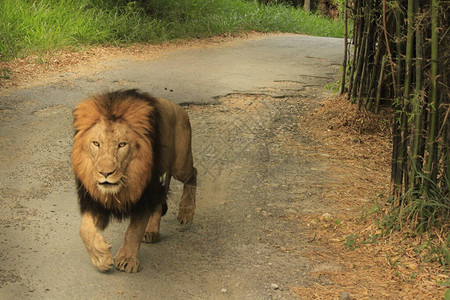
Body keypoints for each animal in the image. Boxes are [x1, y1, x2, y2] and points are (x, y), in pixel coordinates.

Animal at [71, 88, 195, 272]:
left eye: (122, 145)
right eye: (96, 143)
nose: (105, 173)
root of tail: (177, 106)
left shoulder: (143, 195)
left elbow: (134, 231)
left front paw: (127, 259)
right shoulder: (94, 200)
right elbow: (84, 230)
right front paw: (101, 257)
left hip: (179, 164)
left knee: (193, 174)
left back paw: (187, 211)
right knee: (158, 203)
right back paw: (152, 232)